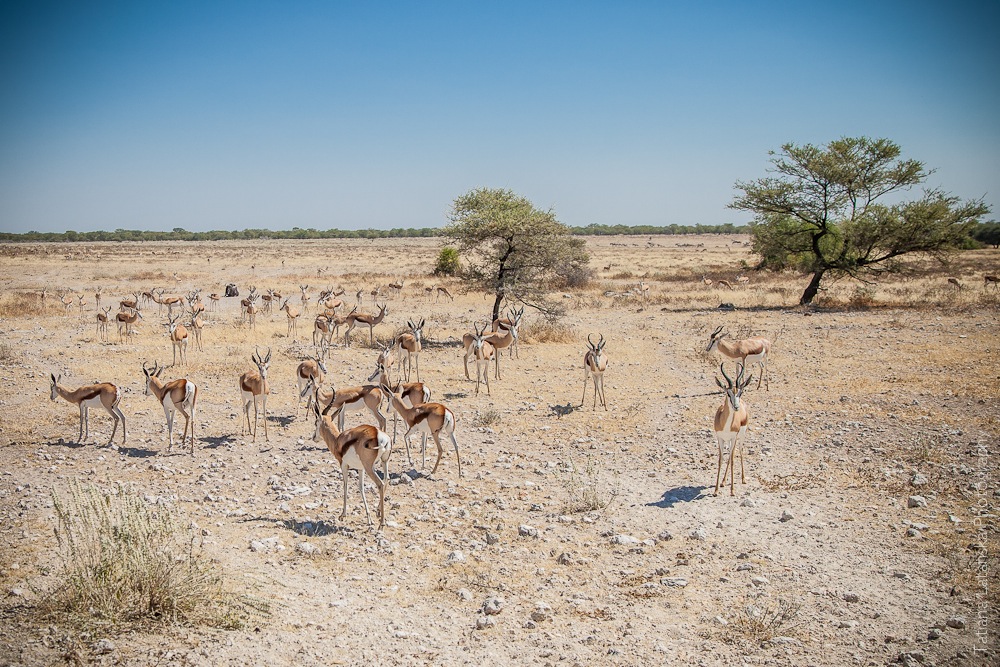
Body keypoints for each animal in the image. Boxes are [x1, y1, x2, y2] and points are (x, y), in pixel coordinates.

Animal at [312, 388, 390, 528]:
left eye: (316, 422)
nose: (313, 437)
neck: (338, 440)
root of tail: (380, 436)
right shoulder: (360, 468)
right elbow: (361, 488)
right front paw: (369, 518)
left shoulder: (344, 465)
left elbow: (345, 486)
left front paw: (342, 515)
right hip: (383, 462)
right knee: (387, 479)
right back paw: (378, 512)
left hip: (370, 467)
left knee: (380, 484)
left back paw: (381, 523)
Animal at [716, 366, 752, 496]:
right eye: (728, 392)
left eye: (740, 393)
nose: (736, 407)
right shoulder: (720, 438)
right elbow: (721, 460)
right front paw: (716, 490)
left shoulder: (733, 437)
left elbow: (731, 460)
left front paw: (732, 490)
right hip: (729, 441)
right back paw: (723, 481)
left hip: (740, 438)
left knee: (739, 451)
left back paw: (743, 479)